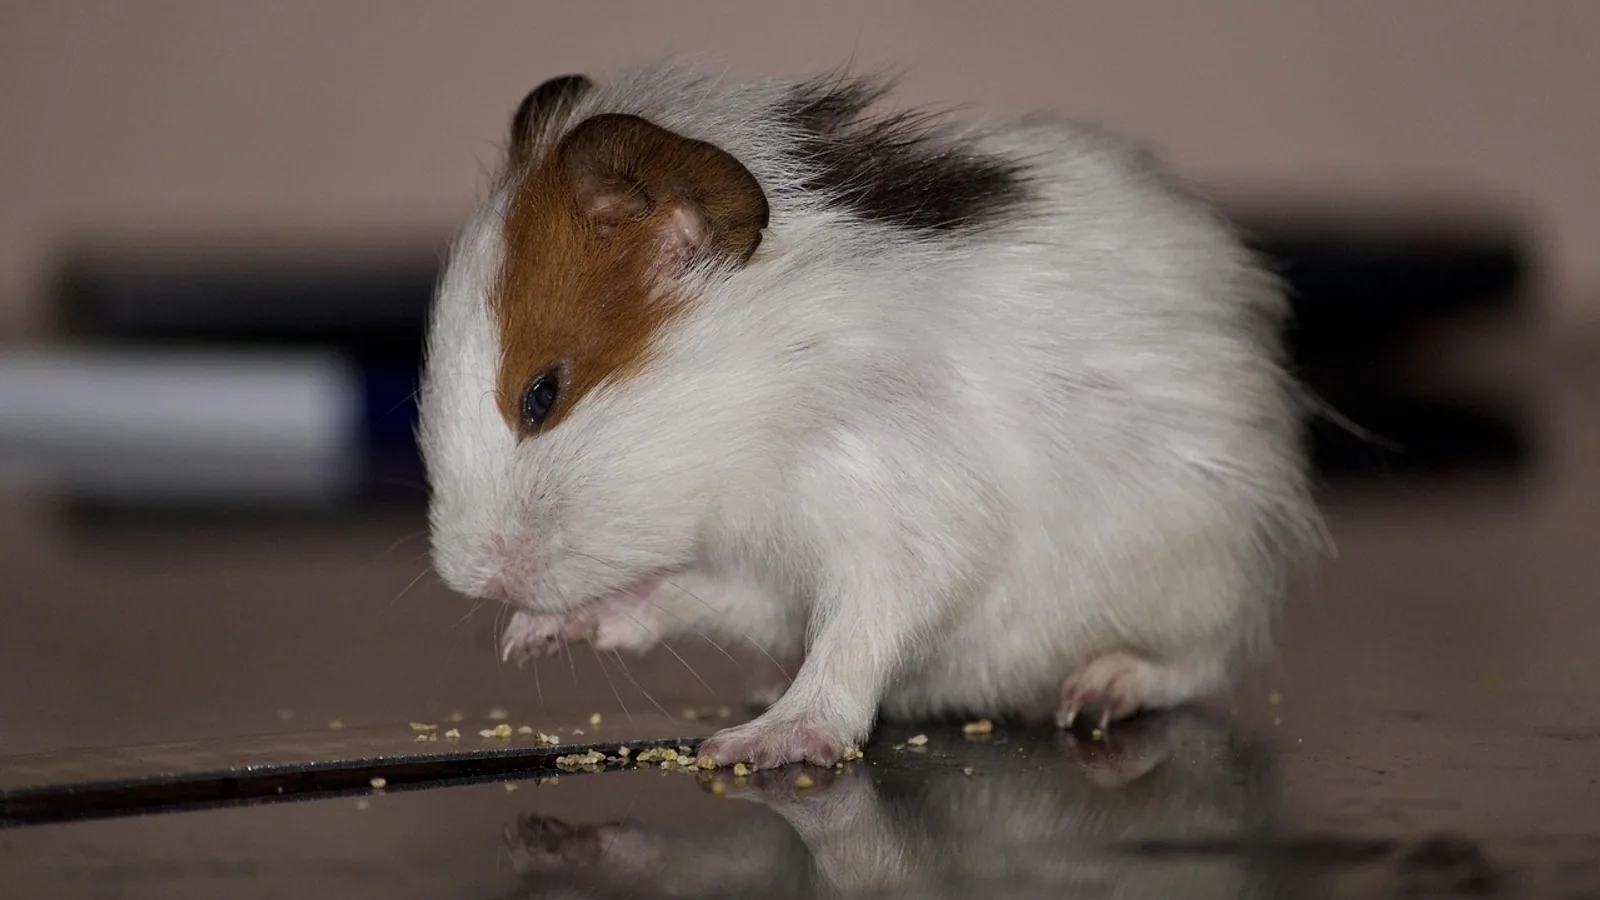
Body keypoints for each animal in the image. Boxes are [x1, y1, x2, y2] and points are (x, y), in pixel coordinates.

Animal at [417, 61, 1322, 770]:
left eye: (542, 394)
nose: (471, 579)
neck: (766, 411)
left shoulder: (905, 524)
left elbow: (855, 641)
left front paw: (759, 746)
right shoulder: (762, 571)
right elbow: (679, 595)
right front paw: (533, 637)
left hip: (1205, 579)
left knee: (1196, 667)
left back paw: (1095, 692)